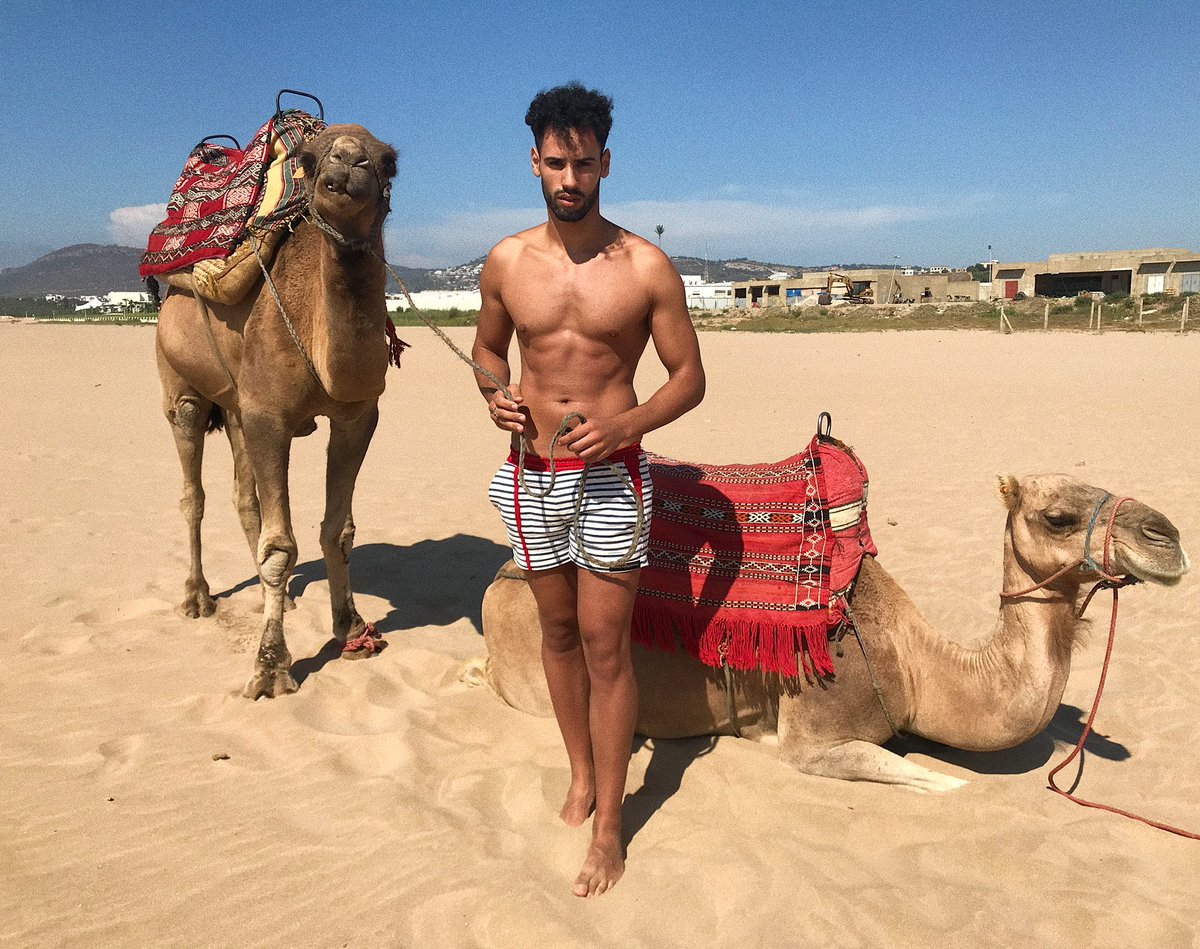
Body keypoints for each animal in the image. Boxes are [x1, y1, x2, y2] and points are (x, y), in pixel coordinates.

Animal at [155, 123, 398, 699]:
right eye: (309, 160)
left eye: (388, 162)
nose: (346, 165)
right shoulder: (270, 417)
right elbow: (280, 545)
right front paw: (270, 666)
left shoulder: (357, 415)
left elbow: (338, 529)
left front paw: (351, 629)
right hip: (180, 383)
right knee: (193, 490)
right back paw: (197, 596)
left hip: (237, 406)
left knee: (244, 497)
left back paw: (282, 597)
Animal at [469, 473, 1188, 791]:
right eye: (1058, 516)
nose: (1168, 536)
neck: (915, 664)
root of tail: (499, 579)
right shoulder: (814, 737)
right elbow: (944, 783)